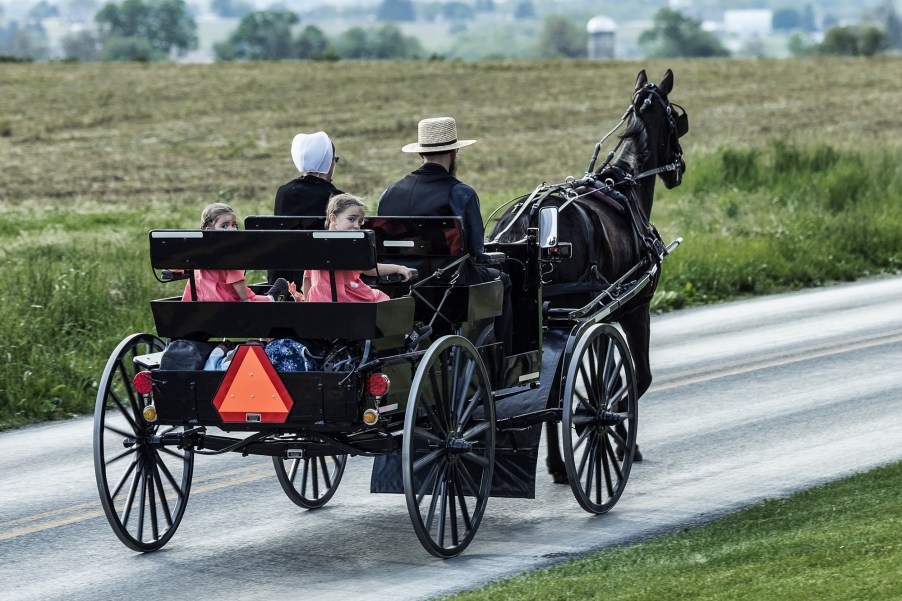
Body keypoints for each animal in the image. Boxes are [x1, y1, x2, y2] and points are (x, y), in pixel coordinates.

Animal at [490, 69, 688, 482]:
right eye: (675, 121)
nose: (680, 168)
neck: (626, 182)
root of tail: (527, 219)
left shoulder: (599, 316)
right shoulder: (632, 309)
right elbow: (630, 379)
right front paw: (620, 439)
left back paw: (555, 462)